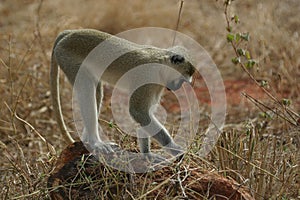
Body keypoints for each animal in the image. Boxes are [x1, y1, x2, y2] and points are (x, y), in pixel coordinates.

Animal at [50, 28, 196, 159]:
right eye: (182, 80)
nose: (177, 87)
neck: (160, 63)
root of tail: (70, 33)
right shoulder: (147, 76)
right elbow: (138, 112)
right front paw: (175, 149)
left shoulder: (156, 85)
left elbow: (145, 114)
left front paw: (147, 154)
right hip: (67, 57)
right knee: (87, 88)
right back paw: (95, 142)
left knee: (96, 91)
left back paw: (87, 141)